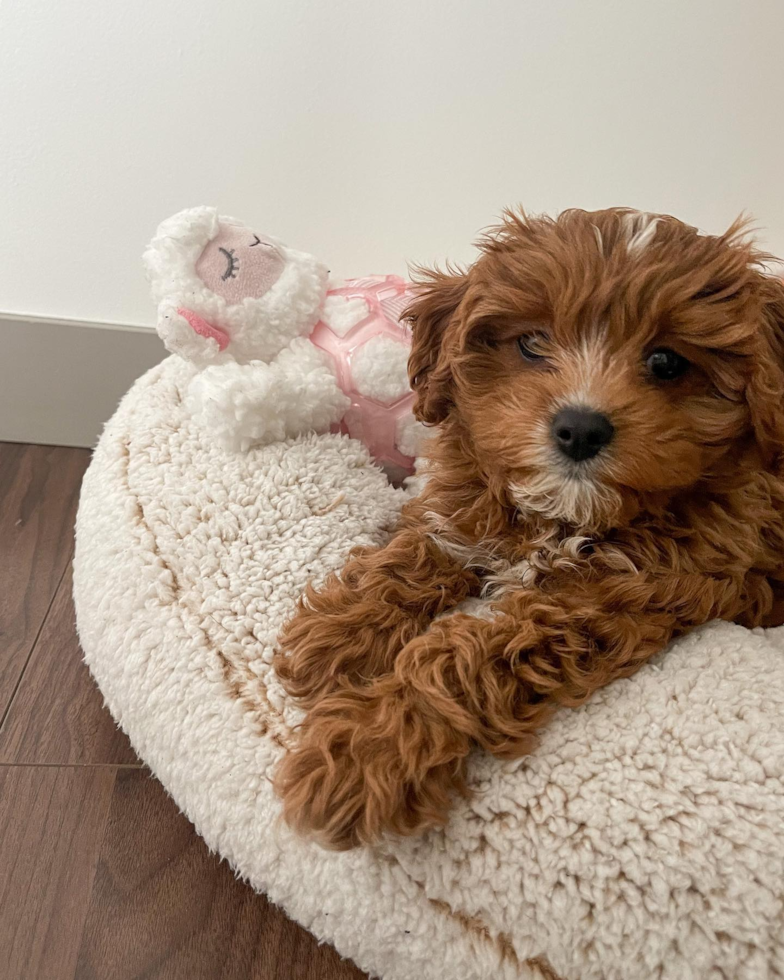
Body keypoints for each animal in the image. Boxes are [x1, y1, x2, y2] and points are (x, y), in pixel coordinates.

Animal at [272, 207, 784, 848]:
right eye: (533, 343)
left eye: (667, 362)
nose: (581, 428)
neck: (562, 514)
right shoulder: (466, 509)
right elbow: (422, 546)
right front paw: (337, 632)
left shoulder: (620, 594)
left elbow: (466, 654)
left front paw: (366, 749)